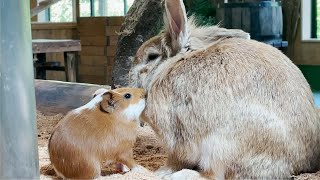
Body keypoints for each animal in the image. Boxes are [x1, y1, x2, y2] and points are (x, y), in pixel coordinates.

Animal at [128, 0, 320, 178]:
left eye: (152, 56)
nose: (130, 77)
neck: (171, 66)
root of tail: (302, 163)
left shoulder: (177, 136)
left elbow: (175, 160)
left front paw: (161, 172)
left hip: (221, 146)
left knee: (213, 175)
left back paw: (181, 175)